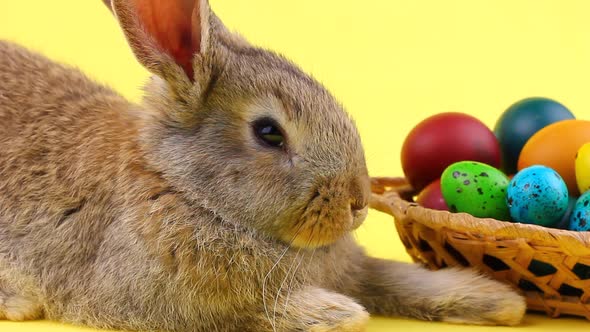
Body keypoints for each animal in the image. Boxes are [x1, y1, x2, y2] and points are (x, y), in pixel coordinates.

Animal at [0, 0, 528, 332]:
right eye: (269, 132)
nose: (358, 202)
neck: (180, 187)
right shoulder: (154, 299)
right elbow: (247, 313)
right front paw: (335, 313)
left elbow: (395, 276)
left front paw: (500, 301)